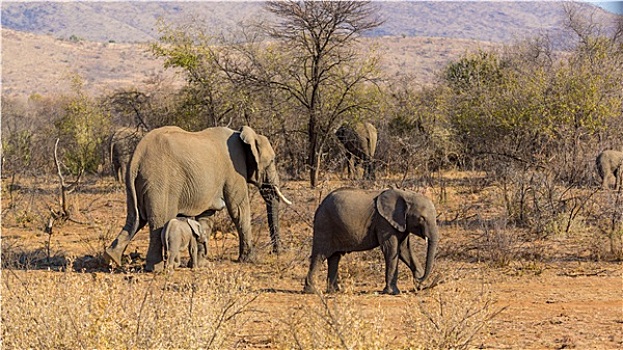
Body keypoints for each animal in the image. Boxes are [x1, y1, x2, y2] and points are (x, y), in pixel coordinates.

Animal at [104, 124, 292, 272]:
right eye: (272, 161)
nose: (277, 251)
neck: (242, 134)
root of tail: (137, 155)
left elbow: (207, 215)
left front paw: (202, 265)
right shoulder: (234, 169)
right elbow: (238, 209)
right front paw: (252, 259)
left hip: (138, 184)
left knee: (135, 219)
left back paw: (112, 258)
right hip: (160, 182)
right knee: (158, 221)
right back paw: (155, 268)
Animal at [304, 187, 442, 294]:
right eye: (421, 218)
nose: (418, 280)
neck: (407, 195)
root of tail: (320, 205)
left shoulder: (401, 223)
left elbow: (404, 251)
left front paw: (422, 286)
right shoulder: (384, 222)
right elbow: (391, 250)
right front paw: (393, 292)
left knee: (334, 257)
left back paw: (335, 291)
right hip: (324, 224)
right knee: (320, 255)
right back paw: (312, 291)